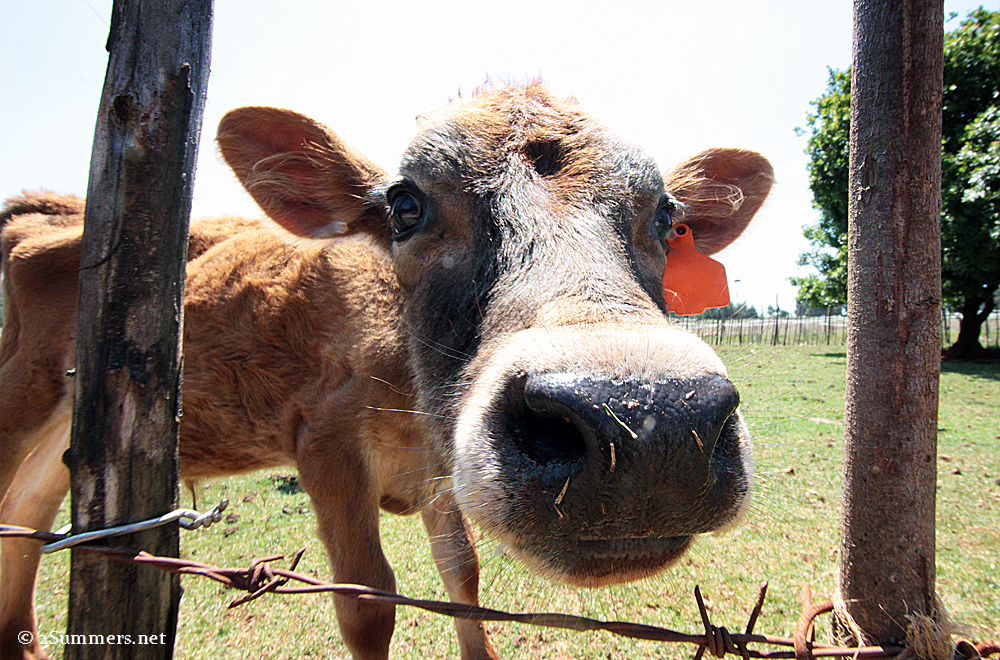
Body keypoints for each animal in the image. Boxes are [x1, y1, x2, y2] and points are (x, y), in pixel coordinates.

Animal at [0, 82, 773, 660]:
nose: (648, 424)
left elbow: (462, 573)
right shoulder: (325, 443)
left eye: (666, 217)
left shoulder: (439, 464)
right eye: (405, 205)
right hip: (20, 403)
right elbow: (369, 603)